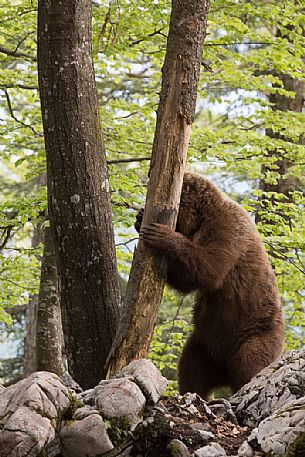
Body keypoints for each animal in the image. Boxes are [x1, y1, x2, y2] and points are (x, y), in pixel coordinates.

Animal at [137, 173, 284, 398]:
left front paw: (161, 234)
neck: (201, 220)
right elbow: (187, 280)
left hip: (257, 331)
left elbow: (210, 267)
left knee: (251, 360)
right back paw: (194, 392)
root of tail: (224, 374)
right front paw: (139, 219)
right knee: (192, 364)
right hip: (206, 344)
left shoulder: (227, 227)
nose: (143, 210)